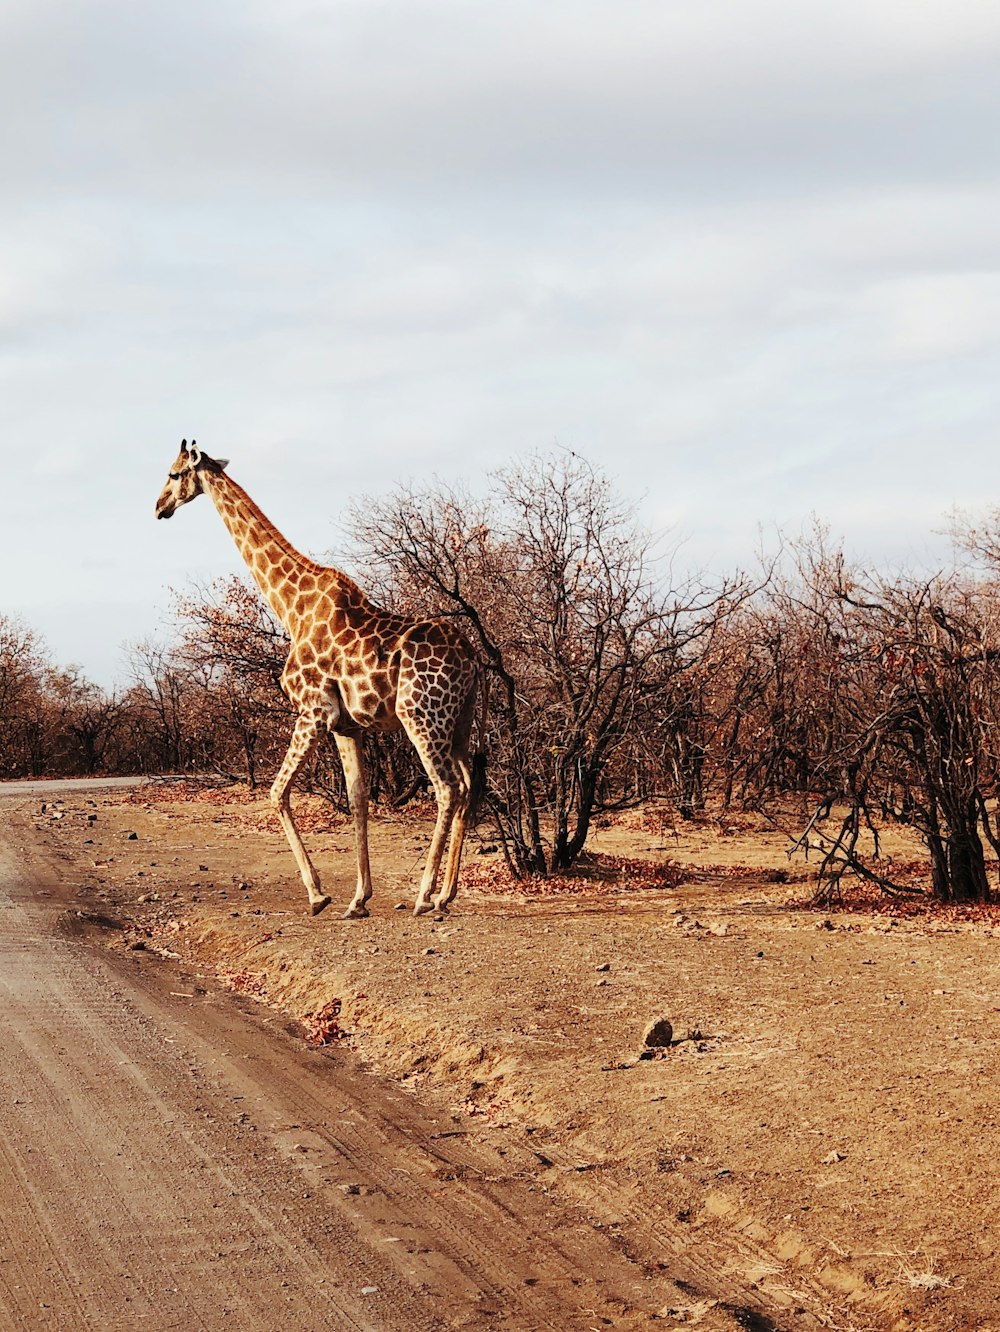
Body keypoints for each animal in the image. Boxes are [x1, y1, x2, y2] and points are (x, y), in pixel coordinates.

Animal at [154, 442, 487, 921]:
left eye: (174, 473)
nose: (159, 506)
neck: (290, 607)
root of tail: (474, 659)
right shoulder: (346, 725)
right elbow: (358, 798)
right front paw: (357, 899)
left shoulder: (312, 711)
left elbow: (276, 793)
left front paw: (318, 895)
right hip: (458, 721)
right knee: (467, 784)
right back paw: (446, 894)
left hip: (421, 715)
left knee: (446, 788)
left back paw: (424, 895)